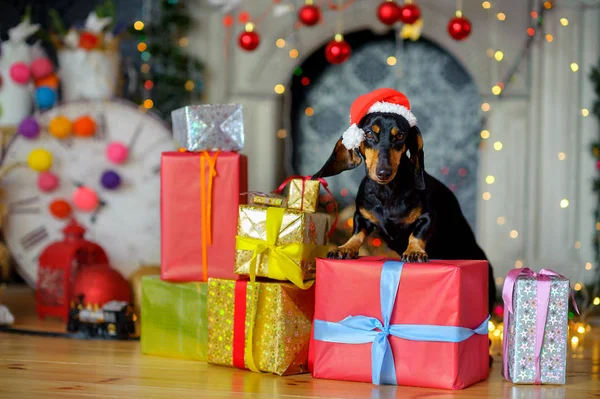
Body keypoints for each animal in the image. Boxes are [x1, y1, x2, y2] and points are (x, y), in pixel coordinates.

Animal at [312, 89, 494, 314]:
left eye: (399, 136)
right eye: (369, 134)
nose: (383, 172)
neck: (388, 192)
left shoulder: (427, 217)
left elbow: (417, 234)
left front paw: (414, 251)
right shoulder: (361, 216)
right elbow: (357, 233)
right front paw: (345, 247)